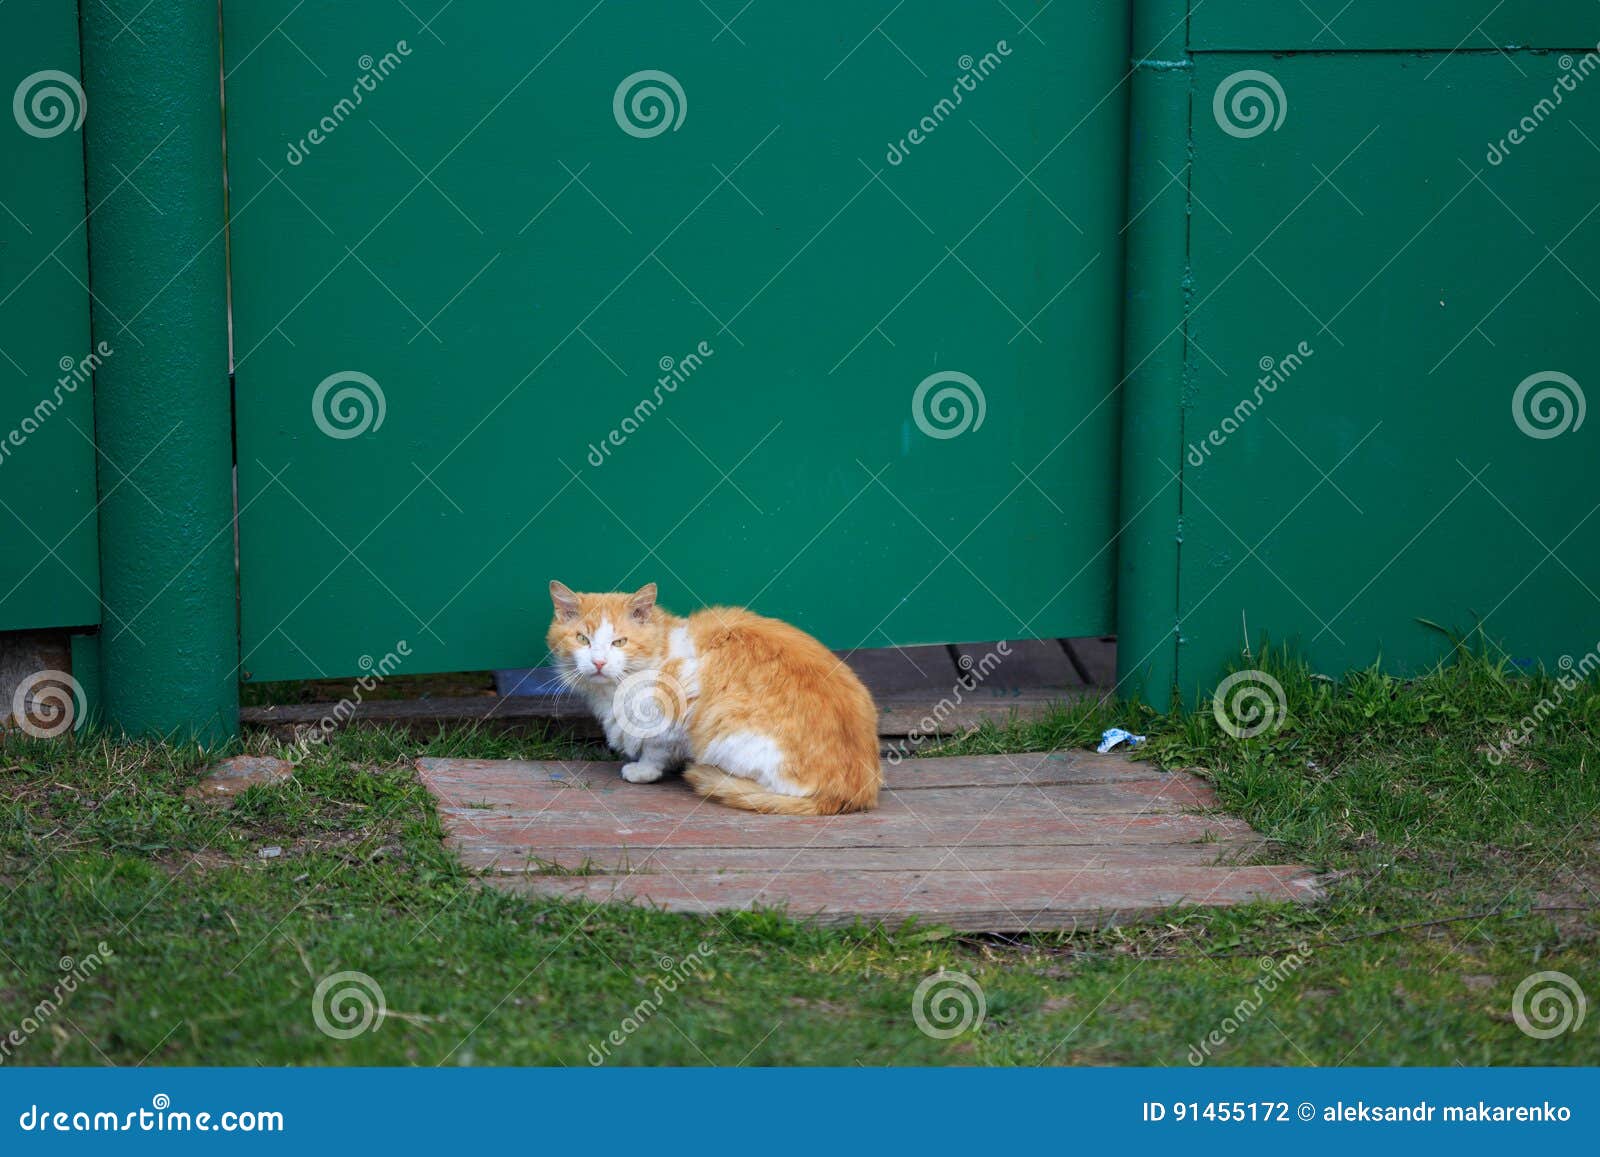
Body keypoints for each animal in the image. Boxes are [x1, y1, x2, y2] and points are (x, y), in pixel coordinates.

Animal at [544, 579, 883, 816]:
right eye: (582, 639)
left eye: (619, 642)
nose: (599, 662)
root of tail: (857, 792)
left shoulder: (678, 705)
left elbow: (656, 748)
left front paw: (643, 770)